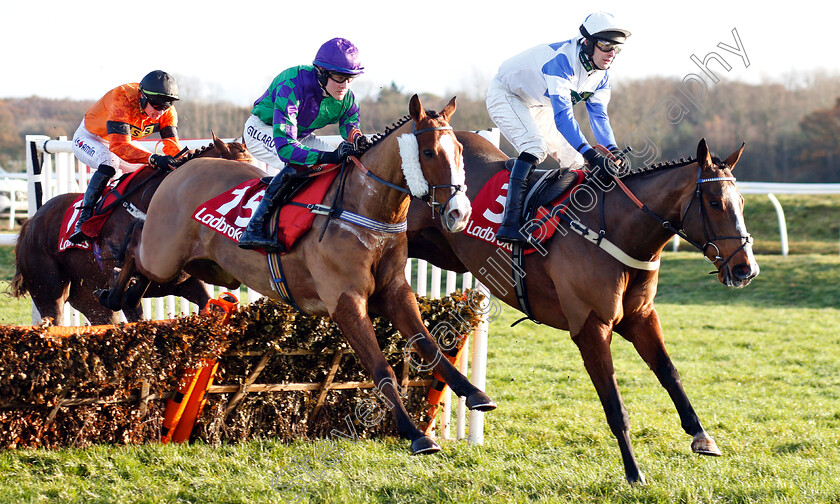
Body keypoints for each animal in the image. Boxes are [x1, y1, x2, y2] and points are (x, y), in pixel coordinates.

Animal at [99, 96, 496, 454]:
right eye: (428, 152)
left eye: (460, 149)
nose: (459, 213)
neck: (366, 208)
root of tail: (178, 171)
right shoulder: (345, 302)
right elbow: (380, 366)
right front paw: (415, 434)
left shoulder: (395, 292)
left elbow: (428, 344)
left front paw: (476, 393)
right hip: (163, 255)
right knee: (134, 245)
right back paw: (113, 294)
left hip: (200, 267)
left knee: (151, 269)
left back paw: (128, 295)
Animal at [406, 134, 760, 484]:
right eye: (714, 203)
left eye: (741, 202)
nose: (746, 269)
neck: (616, 231)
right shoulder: (591, 327)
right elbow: (614, 404)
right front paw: (633, 472)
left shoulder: (641, 317)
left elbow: (669, 373)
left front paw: (701, 435)